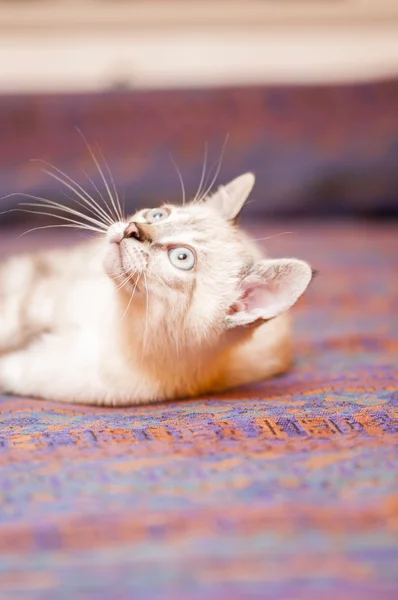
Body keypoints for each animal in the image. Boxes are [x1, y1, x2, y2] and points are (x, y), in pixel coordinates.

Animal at [0, 175, 314, 408]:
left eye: (182, 258)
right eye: (158, 214)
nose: (133, 228)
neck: (118, 325)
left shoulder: (44, 374)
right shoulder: (43, 299)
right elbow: (11, 319)